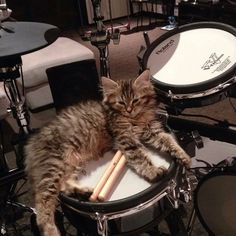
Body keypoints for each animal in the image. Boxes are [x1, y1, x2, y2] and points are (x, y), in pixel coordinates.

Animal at [24, 70, 191, 236]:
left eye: (135, 100)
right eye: (121, 103)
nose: (129, 109)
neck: (135, 118)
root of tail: (31, 145)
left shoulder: (152, 131)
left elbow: (169, 141)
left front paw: (184, 156)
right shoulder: (125, 138)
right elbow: (139, 156)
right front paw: (152, 171)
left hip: (72, 163)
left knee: (64, 185)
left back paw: (83, 192)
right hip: (54, 165)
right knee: (42, 201)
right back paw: (51, 230)